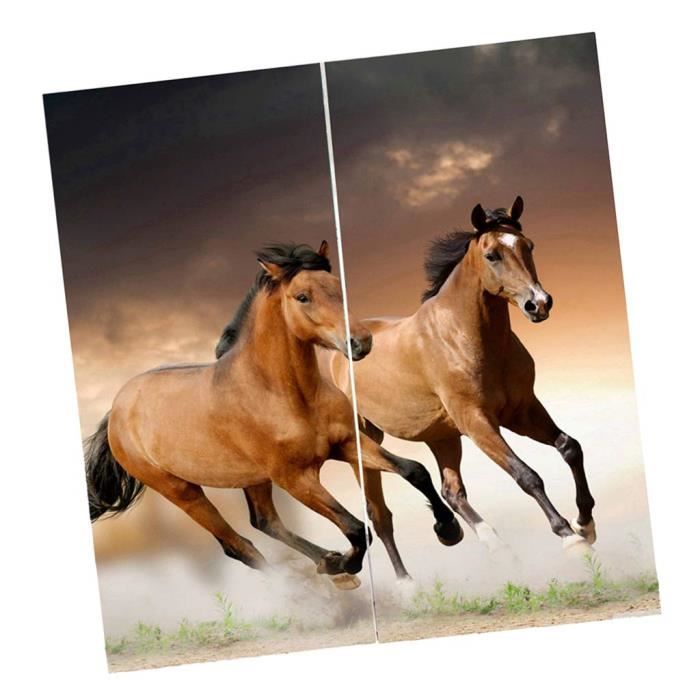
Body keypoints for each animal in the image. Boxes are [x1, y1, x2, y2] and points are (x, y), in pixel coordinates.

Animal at [85, 241, 462, 590]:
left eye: (336, 286)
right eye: (302, 296)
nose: (360, 343)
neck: (285, 394)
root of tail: (116, 410)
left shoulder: (346, 444)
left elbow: (414, 471)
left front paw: (448, 530)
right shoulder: (295, 478)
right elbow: (356, 528)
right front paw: (346, 564)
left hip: (251, 478)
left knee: (264, 522)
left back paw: (328, 565)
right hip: (181, 490)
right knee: (240, 546)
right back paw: (322, 583)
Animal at [330, 197, 596, 580]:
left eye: (528, 246)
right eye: (492, 255)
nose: (539, 303)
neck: (465, 337)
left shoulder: (522, 411)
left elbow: (570, 447)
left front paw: (585, 523)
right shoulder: (478, 422)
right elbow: (526, 475)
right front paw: (569, 538)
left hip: (441, 436)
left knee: (451, 491)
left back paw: (490, 544)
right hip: (366, 444)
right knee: (380, 516)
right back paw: (407, 584)